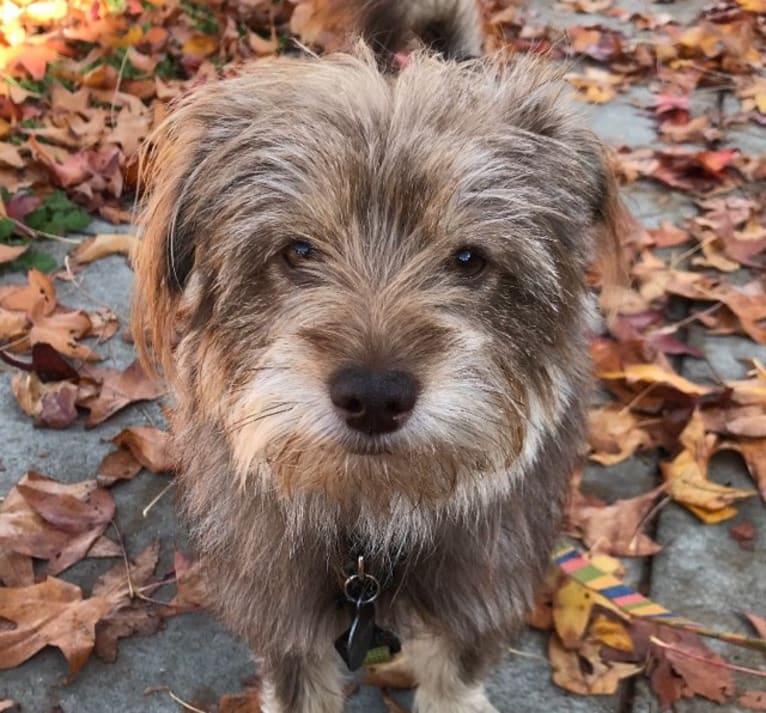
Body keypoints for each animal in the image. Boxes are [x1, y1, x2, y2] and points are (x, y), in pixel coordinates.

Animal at [132, 1, 624, 712]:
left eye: (469, 258)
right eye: (299, 250)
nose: (374, 397)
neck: (373, 524)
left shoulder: (477, 594)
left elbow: (454, 682)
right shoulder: (287, 622)